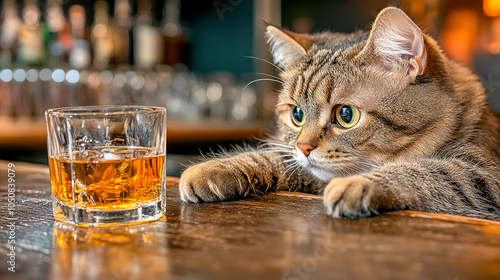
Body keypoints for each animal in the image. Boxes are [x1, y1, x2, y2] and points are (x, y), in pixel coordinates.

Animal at [180, 7, 500, 221]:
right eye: (297, 114)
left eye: (346, 114)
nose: (304, 147)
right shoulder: (304, 167)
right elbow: (274, 157)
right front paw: (216, 168)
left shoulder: (486, 178)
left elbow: (430, 171)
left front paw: (358, 183)